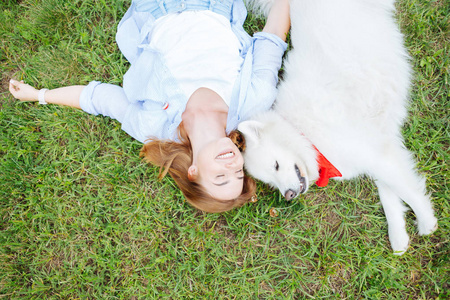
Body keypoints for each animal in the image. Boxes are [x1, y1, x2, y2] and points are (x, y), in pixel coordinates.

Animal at [239, 0, 436, 255]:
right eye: (272, 183)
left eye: (276, 165)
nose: (288, 195)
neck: (305, 133)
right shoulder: (380, 148)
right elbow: (390, 194)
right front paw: (398, 237)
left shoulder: (373, 153)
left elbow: (407, 190)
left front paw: (426, 221)